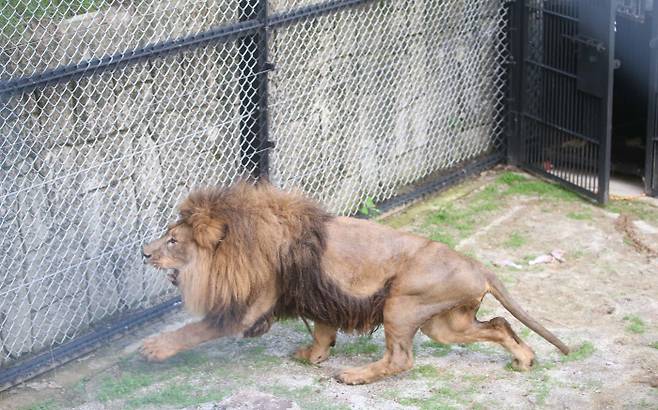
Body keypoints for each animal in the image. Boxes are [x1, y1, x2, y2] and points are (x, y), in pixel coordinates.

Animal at [141, 183, 568, 384]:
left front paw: (154, 348)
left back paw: (354, 376)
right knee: (498, 324)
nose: (144, 252)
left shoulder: (249, 308)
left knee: (401, 359)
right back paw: (524, 358)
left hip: (401, 304)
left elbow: (195, 329)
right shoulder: (322, 297)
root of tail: (477, 265)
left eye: (173, 241)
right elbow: (322, 332)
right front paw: (313, 356)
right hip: (445, 324)